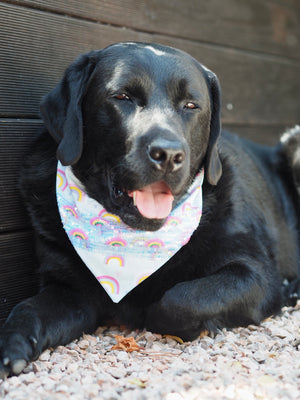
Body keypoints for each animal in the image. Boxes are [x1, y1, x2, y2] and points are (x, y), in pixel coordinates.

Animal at [0, 42, 300, 376]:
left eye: (190, 105)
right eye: (122, 97)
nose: (168, 154)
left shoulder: (256, 274)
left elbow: (177, 300)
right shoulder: (68, 290)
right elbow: (28, 307)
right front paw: (12, 343)